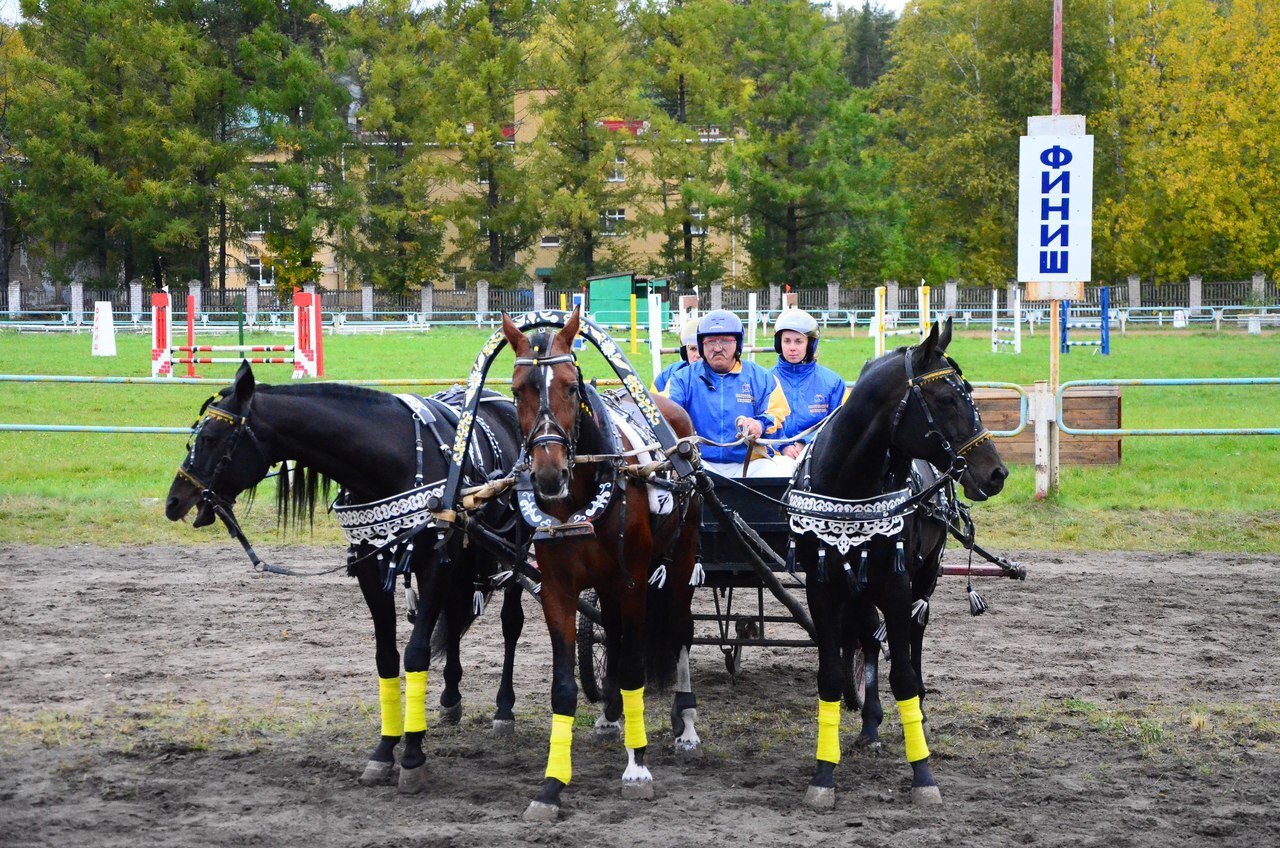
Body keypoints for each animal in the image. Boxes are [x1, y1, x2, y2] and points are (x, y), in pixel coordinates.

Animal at [166, 363, 529, 799]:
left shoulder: (434, 563)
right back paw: (450, 697)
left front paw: (412, 756)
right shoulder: (371, 567)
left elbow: (416, 654)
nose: (174, 501)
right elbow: (386, 657)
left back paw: (504, 708)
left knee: (510, 625)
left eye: (211, 438)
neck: (395, 456)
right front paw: (385, 751)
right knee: (454, 617)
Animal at [499, 311, 706, 824]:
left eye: (571, 386)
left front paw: (638, 767)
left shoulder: (633, 583)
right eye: (517, 389)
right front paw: (552, 786)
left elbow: (633, 667)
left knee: (679, 629)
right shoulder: (559, 590)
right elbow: (565, 686)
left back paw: (686, 725)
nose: (548, 474)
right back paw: (613, 714)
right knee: (612, 632)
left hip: (680, 559)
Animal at [783, 320, 1003, 809]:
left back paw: (916, 711)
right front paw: (823, 773)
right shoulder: (824, 589)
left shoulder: (899, 589)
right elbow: (830, 677)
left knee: (914, 640)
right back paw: (870, 722)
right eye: (946, 399)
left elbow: (902, 673)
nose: (996, 472)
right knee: (867, 639)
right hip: (861, 586)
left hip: (924, 576)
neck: (849, 488)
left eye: (969, 392)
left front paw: (922, 773)